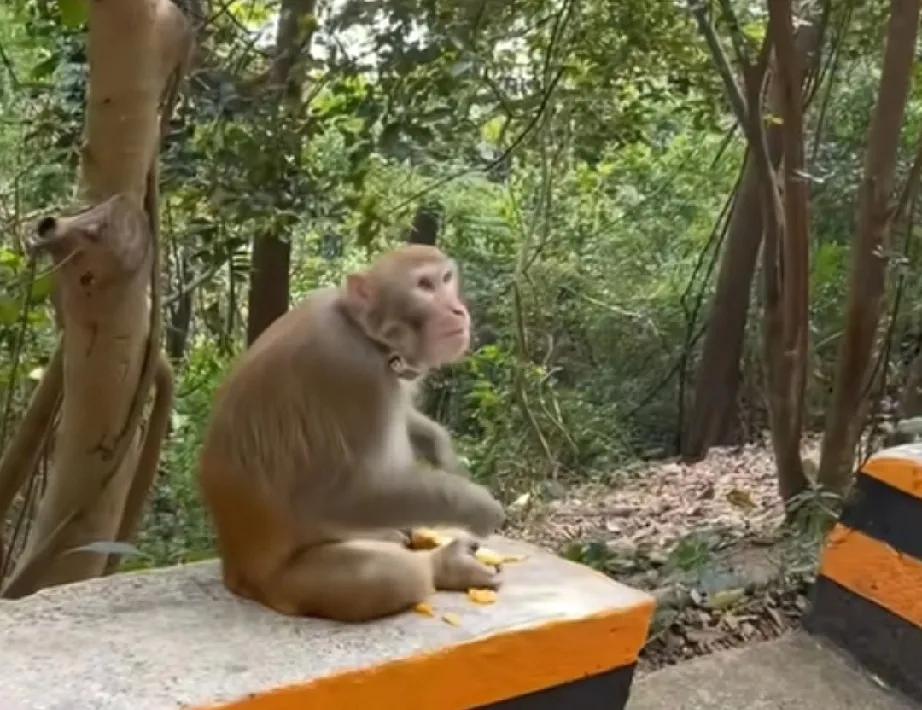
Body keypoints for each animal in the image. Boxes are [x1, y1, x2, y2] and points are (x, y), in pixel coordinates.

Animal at [197, 245, 506, 624]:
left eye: (447, 279)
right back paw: (442, 565)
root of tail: (235, 572)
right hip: (284, 585)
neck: (364, 334)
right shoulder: (352, 371)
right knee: (389, 575)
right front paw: (477, 504)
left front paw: (441, 447)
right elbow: (345, 496)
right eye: (424, 285)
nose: (457, 309)